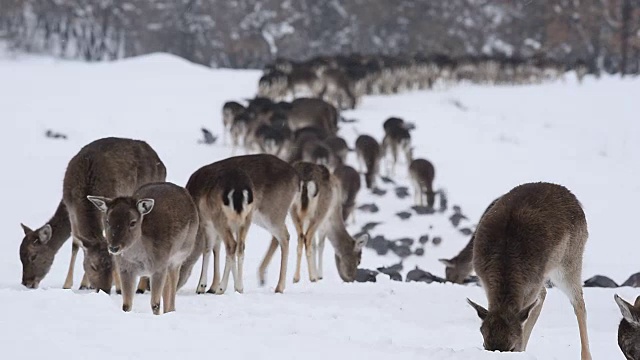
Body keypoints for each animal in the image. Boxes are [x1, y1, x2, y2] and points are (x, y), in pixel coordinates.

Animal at [19, 137, 166, 292]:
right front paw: (74, 284)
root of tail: (161, 163)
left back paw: (142, 287)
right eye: (21, 256)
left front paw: (116, 286)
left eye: (33, 256)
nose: (27, 282)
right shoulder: (71, 210)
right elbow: (76, 243)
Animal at [86, 181, 198, 314]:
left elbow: (155, 304)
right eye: (107, 221)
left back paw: (171, 310)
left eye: (132, 222)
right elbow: (126, 305)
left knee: (173, 282)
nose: (114, 248)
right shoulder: (125, 269)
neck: (141, 261)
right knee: (167, 286)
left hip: (179, 256)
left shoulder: (159, 267)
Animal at [180, 153, 300, 294]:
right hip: (253, 217)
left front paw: (203, 286)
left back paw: (279, 287)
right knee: (248, 244)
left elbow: (209, 249)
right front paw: (218, 286)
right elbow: (219, 248)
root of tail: (296, 178)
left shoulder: (207, 222)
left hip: (271, 212)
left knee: (283, 237)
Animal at [464, 183, 596, 360]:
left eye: (511, 347)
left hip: (570, 261)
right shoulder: (484, 280)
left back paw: (586, 356)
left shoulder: (533, 282)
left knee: (578, 302)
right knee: (545, 293)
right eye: (485, 344)